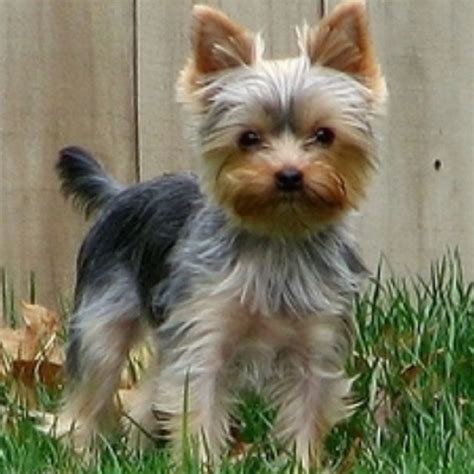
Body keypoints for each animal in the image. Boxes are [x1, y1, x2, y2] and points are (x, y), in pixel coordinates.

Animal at [51, 0, 386, 470]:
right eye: (248, 138)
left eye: (324, 135)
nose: (289, 175)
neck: (278, 237)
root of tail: (121, 193)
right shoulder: (204, 334)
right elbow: (198, 408)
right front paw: (201, 462)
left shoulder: (315, 345)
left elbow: (306, 414)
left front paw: (301, 464)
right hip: (103, 320)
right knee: (88, 393)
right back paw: (83, 454)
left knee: (144, 394)